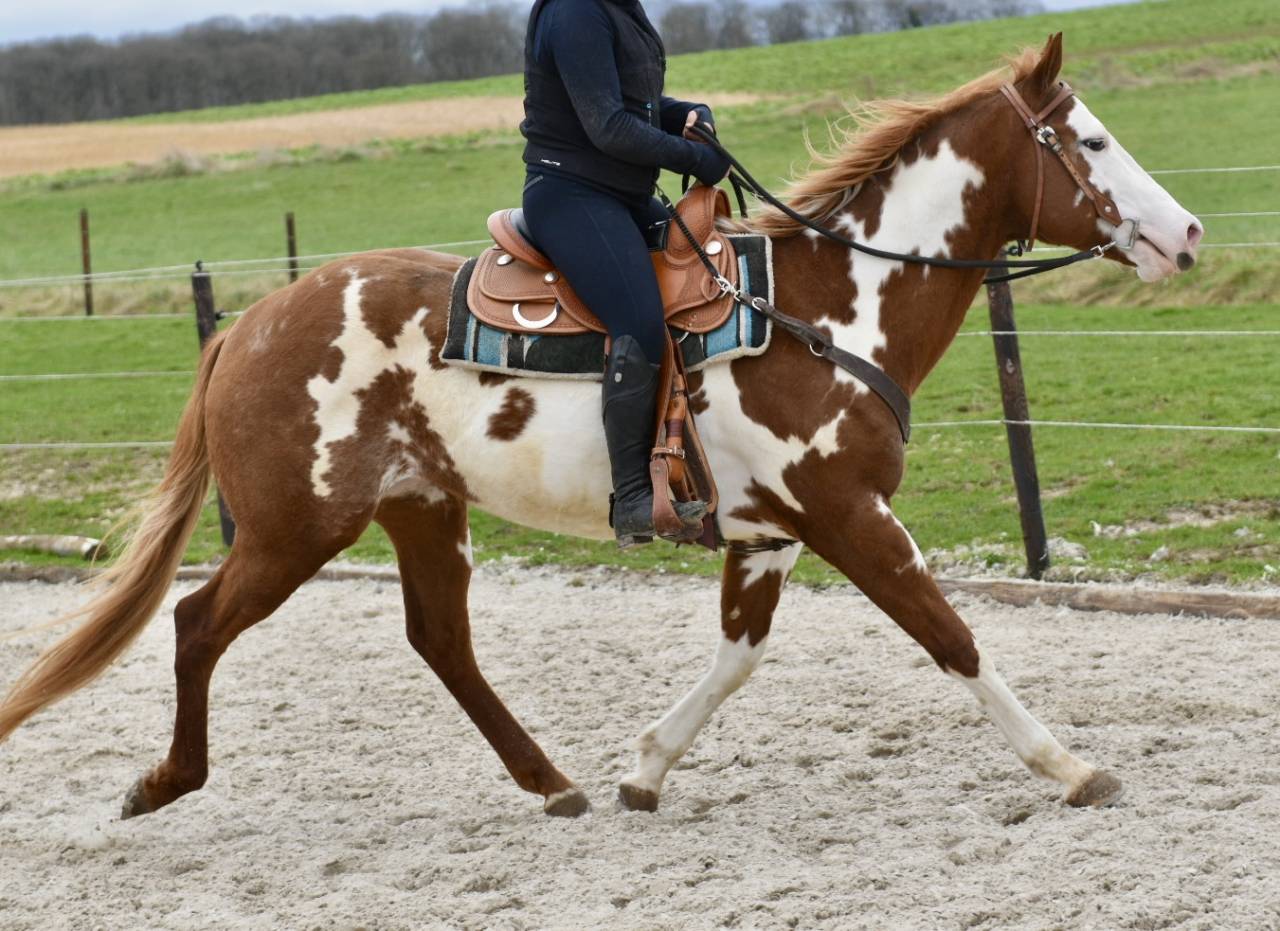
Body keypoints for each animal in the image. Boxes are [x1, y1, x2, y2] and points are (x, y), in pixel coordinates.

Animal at [0, 35, 1202, 820]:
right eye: (1089, 139)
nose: (1185, 232)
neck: (827, 309)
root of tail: (248, 325)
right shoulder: (850, 516)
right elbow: (951, 636)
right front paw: (1069, 766)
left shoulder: (769, 534)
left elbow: (736, 658)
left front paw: (644, 768)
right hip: (297, 526)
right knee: (198, 622)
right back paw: (164, 782)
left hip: (420, 510)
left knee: (440, 641)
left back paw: (554, 782)